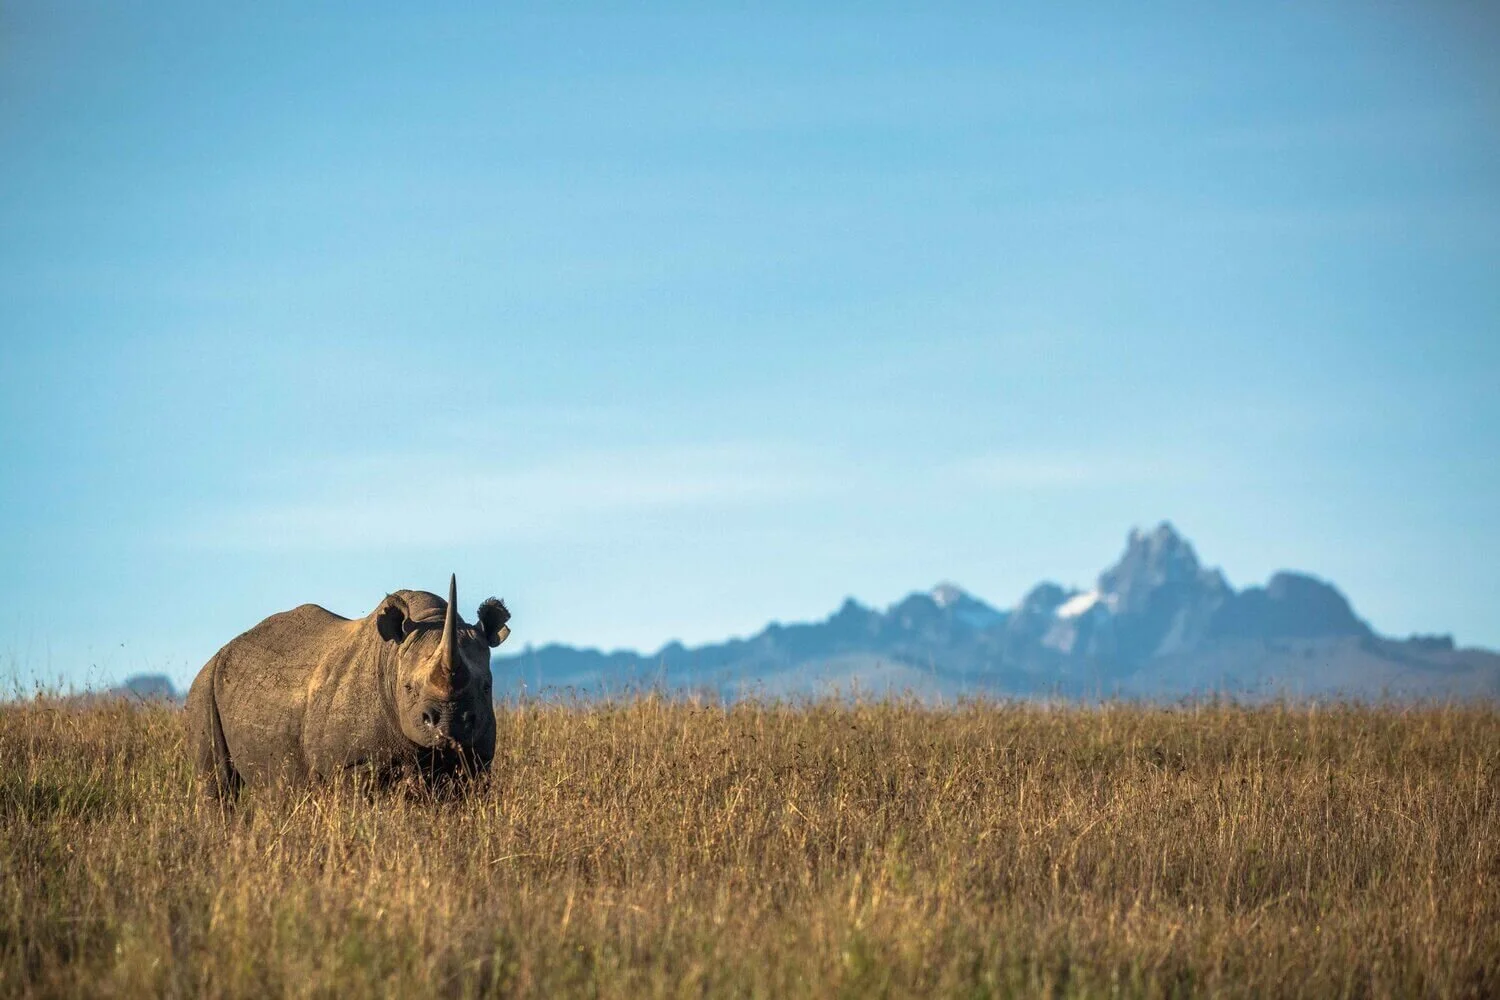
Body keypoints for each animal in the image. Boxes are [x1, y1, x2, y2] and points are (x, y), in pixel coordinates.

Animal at [186, 576, 510, 800]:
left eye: (486, 687)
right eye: (407, 688)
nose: (448, 726)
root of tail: (221, 651)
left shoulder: (476, 759)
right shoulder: (351, 764)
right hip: (204, 685)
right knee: (218, 786)